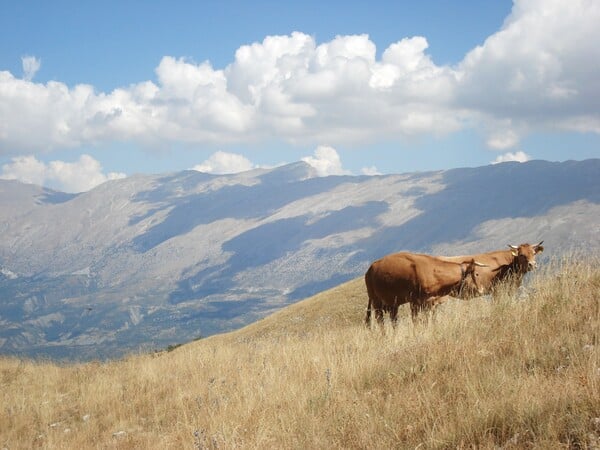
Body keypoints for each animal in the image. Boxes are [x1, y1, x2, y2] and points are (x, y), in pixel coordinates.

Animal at [360, 253, 488, 326]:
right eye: (476, 274)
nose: (481, 290)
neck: (432, 272)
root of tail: (369, 270)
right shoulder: (417, 302)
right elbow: (418, 321)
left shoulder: (427, 303)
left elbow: (426, 320)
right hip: (376, 302)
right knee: (380, 322)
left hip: (393, 305)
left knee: (394, 321)